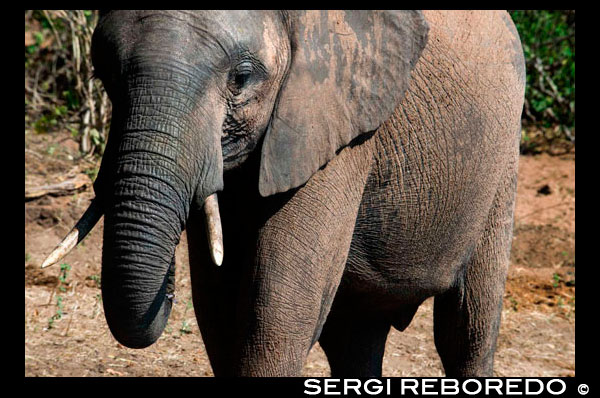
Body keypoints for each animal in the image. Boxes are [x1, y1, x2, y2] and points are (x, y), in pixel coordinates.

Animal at [43, 10, 524, 376]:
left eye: (242, 77)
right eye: (103, 72)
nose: (166, 290)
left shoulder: (333, 122)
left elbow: (274, 310)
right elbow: (219, 306)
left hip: (503, 157)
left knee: (467, 325)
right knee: (356, 334)